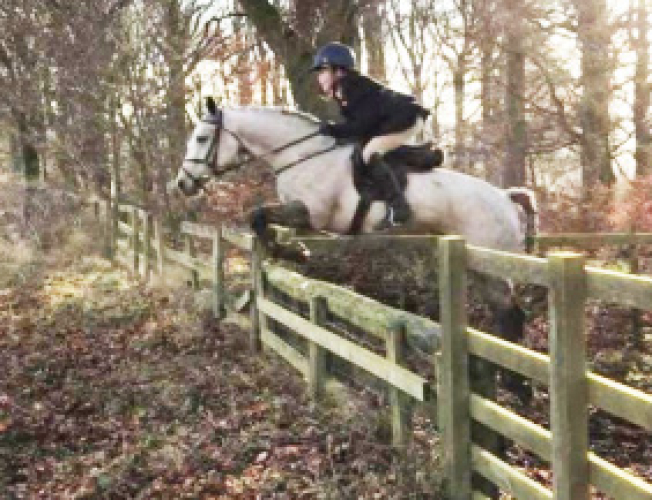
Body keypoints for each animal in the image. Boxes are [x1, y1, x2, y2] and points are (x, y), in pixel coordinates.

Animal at [174, 97, 537, 402]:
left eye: (202, 139)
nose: (183, 184)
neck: (300, 156)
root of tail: (505, 197)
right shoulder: (307, 219)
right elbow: (263, 220)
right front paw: (291, 250)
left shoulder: (312, 212)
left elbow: (258, 214)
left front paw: (294, 253)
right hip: (478, 265)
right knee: (504, 313)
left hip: (492, 263)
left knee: (511, 314)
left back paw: (519, 386)